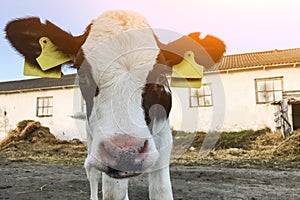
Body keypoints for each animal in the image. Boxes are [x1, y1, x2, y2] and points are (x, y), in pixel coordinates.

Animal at [5, 9, 225, 200]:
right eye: (82, 73)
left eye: (160, 74)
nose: (125, 153)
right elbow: (113, 192)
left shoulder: (163, 138)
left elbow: (161, 190)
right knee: (90, 169)